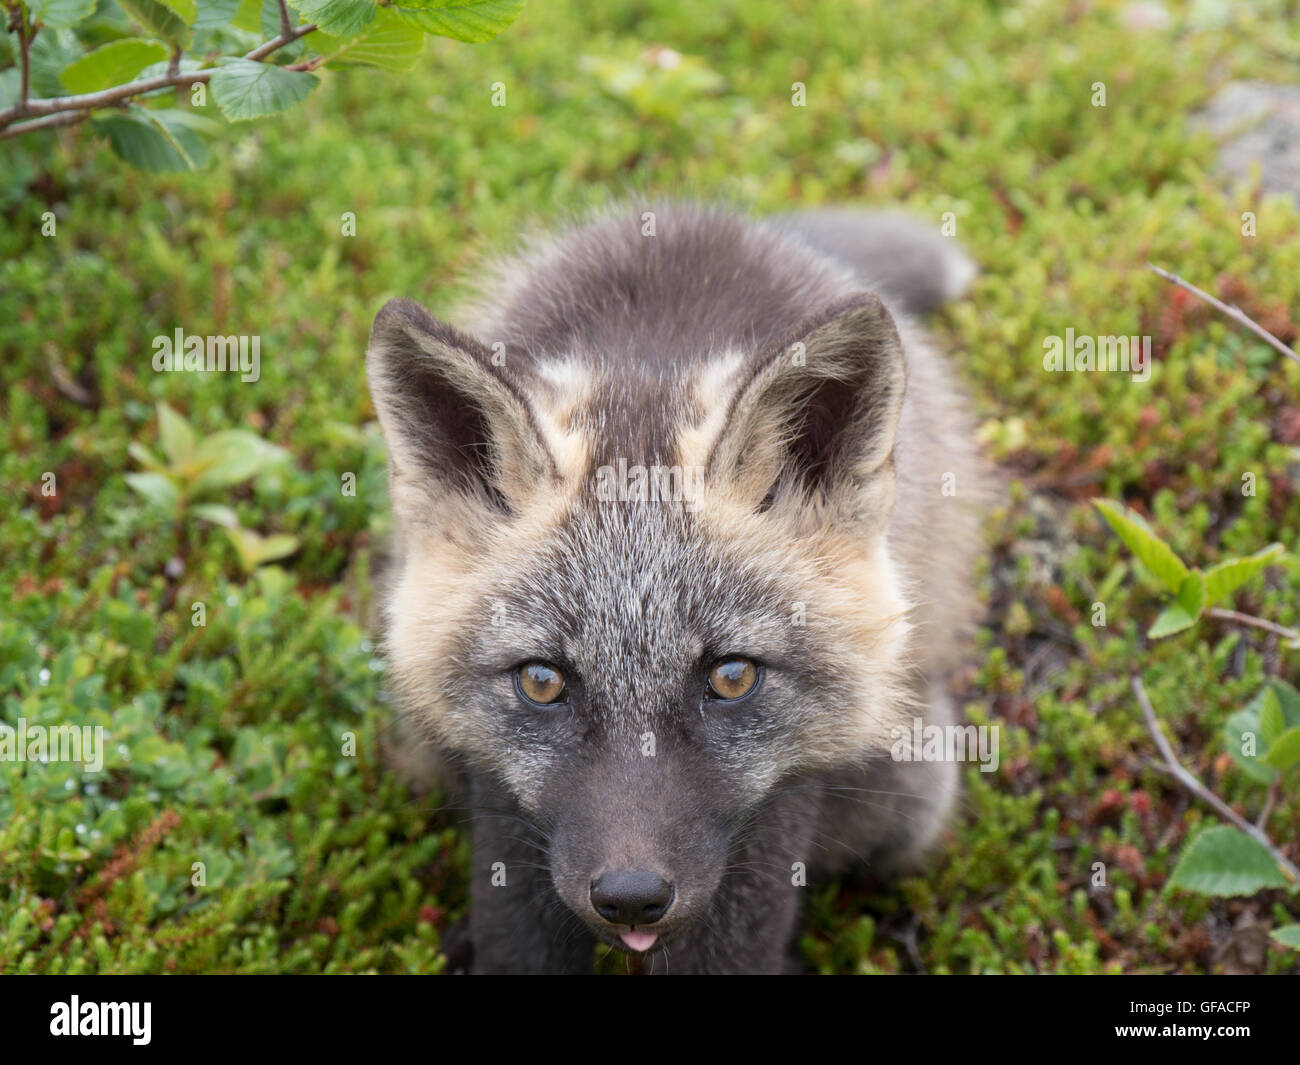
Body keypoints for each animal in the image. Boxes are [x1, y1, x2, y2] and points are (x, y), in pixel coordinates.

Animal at [366, 202, 988, 974]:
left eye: (731, 676)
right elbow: (517, 935)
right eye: (542, 680)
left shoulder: (784, 801)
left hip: (914, 791)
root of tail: (728, 223)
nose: (631, 897)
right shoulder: (500, 791)